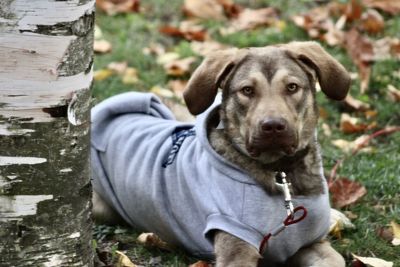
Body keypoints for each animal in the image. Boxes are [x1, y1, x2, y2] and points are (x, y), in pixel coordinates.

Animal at [90, 40, 350, 266]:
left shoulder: (313, 244)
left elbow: (336, 258)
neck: (281, 172)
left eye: (292, 87)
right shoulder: (237, 248)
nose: (273, 126)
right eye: (247, 90)